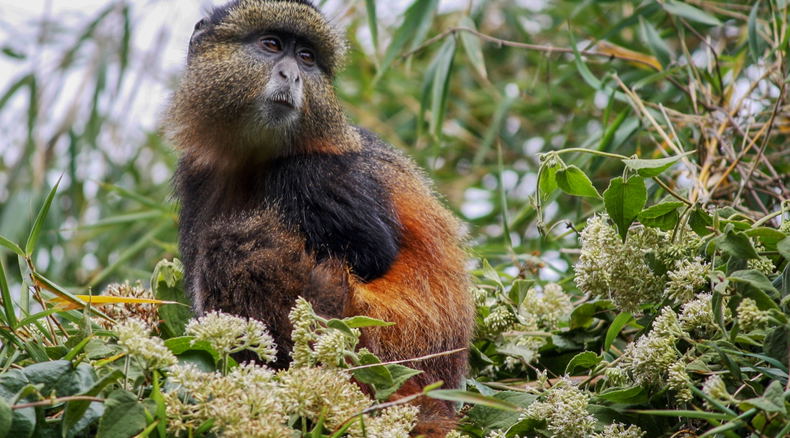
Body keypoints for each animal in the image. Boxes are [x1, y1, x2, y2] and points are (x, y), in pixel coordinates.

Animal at [164, 0, 474, 435]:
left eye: (307, 57)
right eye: (272, 45)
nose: (291, 74)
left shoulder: (310, 172)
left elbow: (374, 253)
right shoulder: (198, 173)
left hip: (368, 344)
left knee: (235, 244)